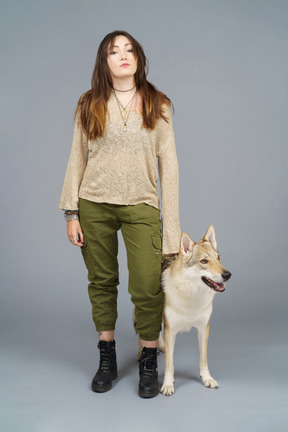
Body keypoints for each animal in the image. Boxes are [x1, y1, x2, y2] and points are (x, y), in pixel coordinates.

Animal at [160, 226, 232, 394]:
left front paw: (207, 379)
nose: (228, 275)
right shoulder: (170, 330)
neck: (191, 295)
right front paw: (168, 385)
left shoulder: (203, 328)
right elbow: (169, 364)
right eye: (204, 261)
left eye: (218, 258)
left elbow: (203, 359)